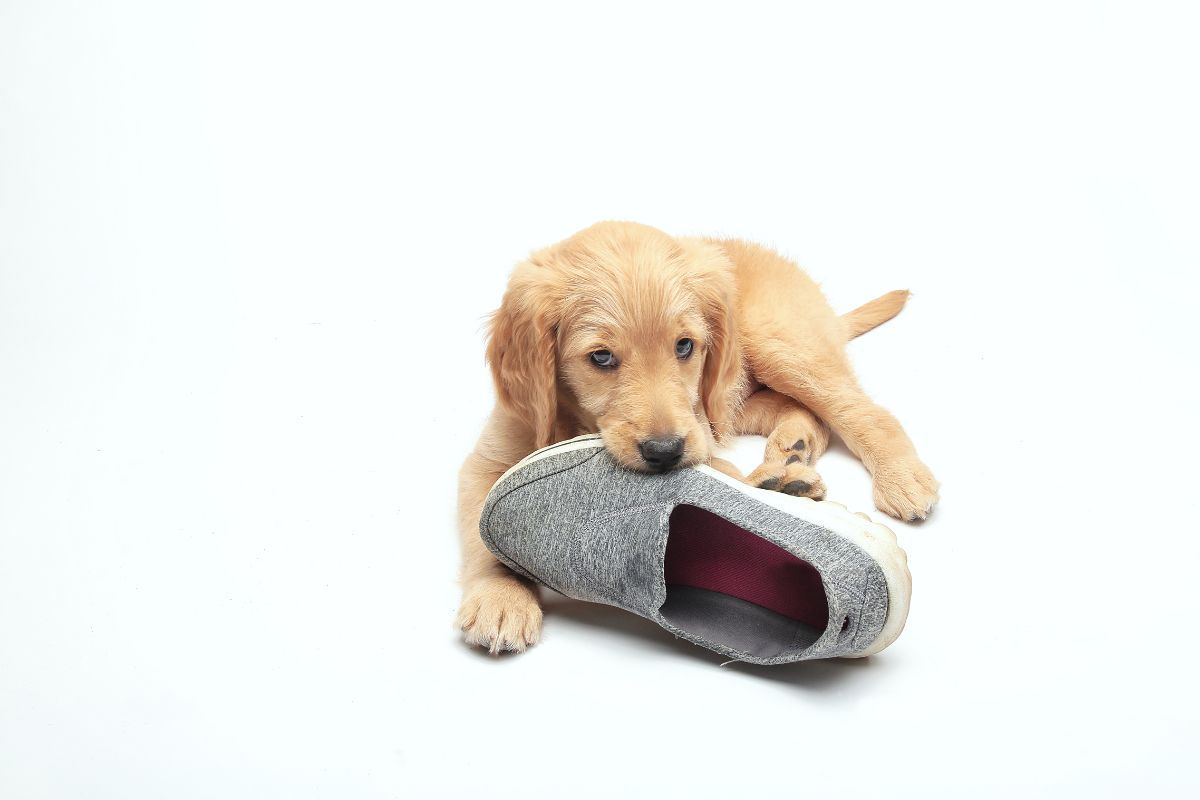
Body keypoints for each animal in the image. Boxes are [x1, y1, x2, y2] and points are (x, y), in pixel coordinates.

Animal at [458, 221, 936, 652]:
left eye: (684, 346)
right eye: (601, 357)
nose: (664, 452)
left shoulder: (699, 434)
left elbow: (721, 475)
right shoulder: (491, 455)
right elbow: (480, 529)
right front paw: (500, 600)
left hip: (774, 347)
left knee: (860, 411)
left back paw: (895, 478)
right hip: (735, 397)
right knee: (803, 413)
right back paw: (790, 459)